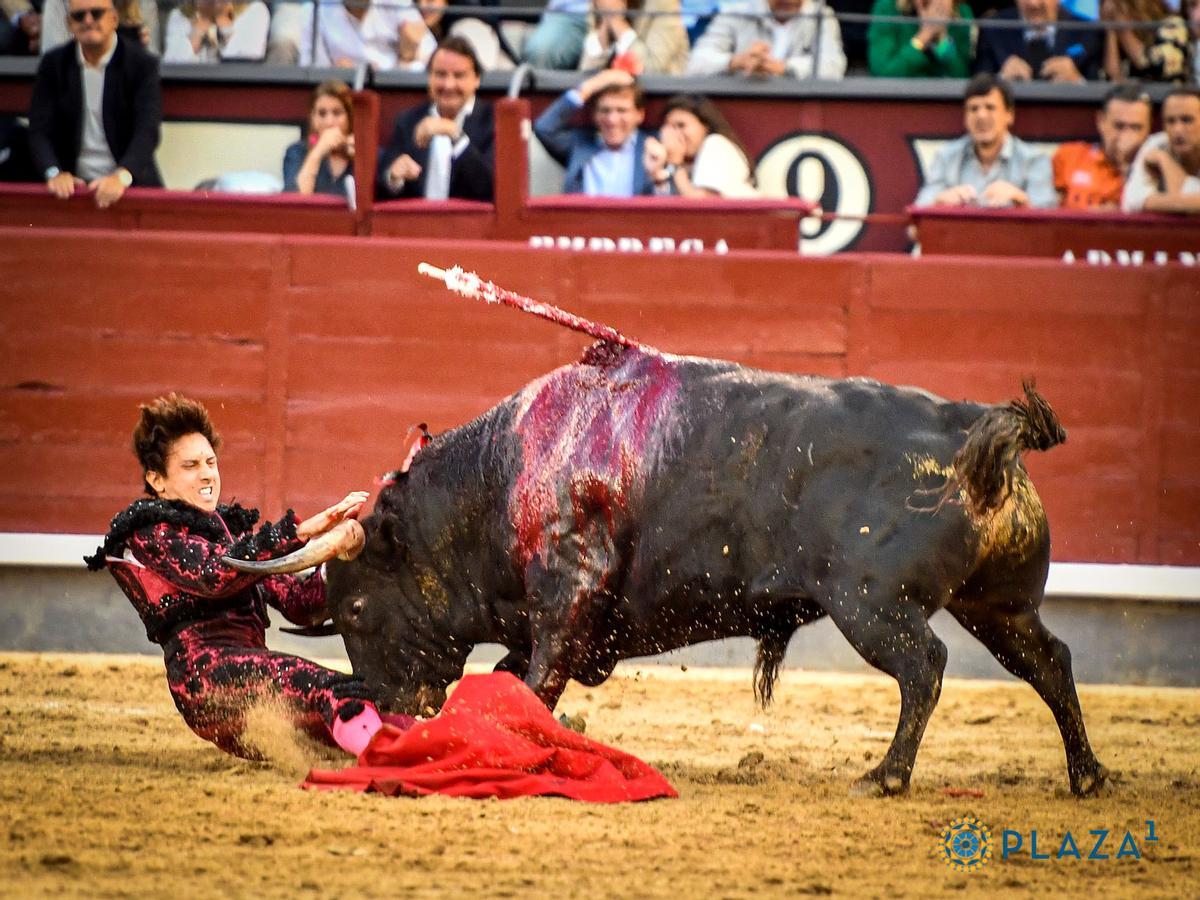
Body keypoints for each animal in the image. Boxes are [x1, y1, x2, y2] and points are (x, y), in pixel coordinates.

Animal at [229, 273, 1108, 796]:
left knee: (924, 667)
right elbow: (516, 679)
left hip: (871, 604)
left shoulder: (568, 596)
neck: (500, 474)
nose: (386, 707)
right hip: (998, 603)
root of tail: (970, 430)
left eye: (356, 610)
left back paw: (886, 776)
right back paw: (1088, 775)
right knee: (1050, 661)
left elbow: (532, 685)